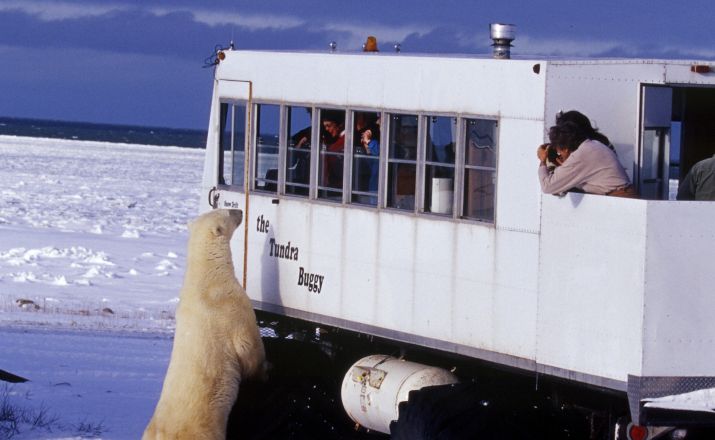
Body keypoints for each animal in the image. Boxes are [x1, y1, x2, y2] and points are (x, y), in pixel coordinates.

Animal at [144, 208, 268, 438]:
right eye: (228, 211)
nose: (241, 210)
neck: (206, 275)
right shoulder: (231, 307)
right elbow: (249, 345)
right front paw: (264, 370)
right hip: (203, 428)